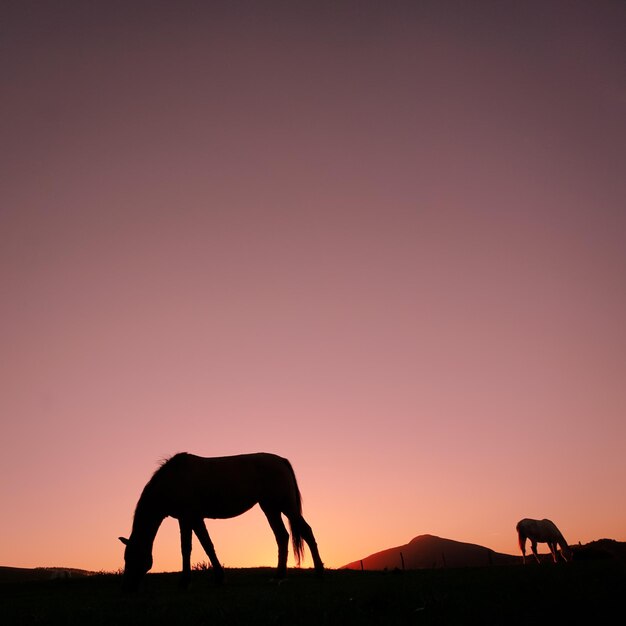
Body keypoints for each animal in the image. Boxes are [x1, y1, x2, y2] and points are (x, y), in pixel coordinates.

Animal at [118, 448, 322, 588]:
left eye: (132, 557)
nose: (127, 587)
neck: (173, 481)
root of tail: (281, 461)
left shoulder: (189, 517)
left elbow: (193, 547)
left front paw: (190, 580)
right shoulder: (191, 519)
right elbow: (201, 546)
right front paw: (214, 577)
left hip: (285, 506)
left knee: (306, 531)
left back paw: (319, 571)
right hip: (270, 508)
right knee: (282, 536)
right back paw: (279, 575)